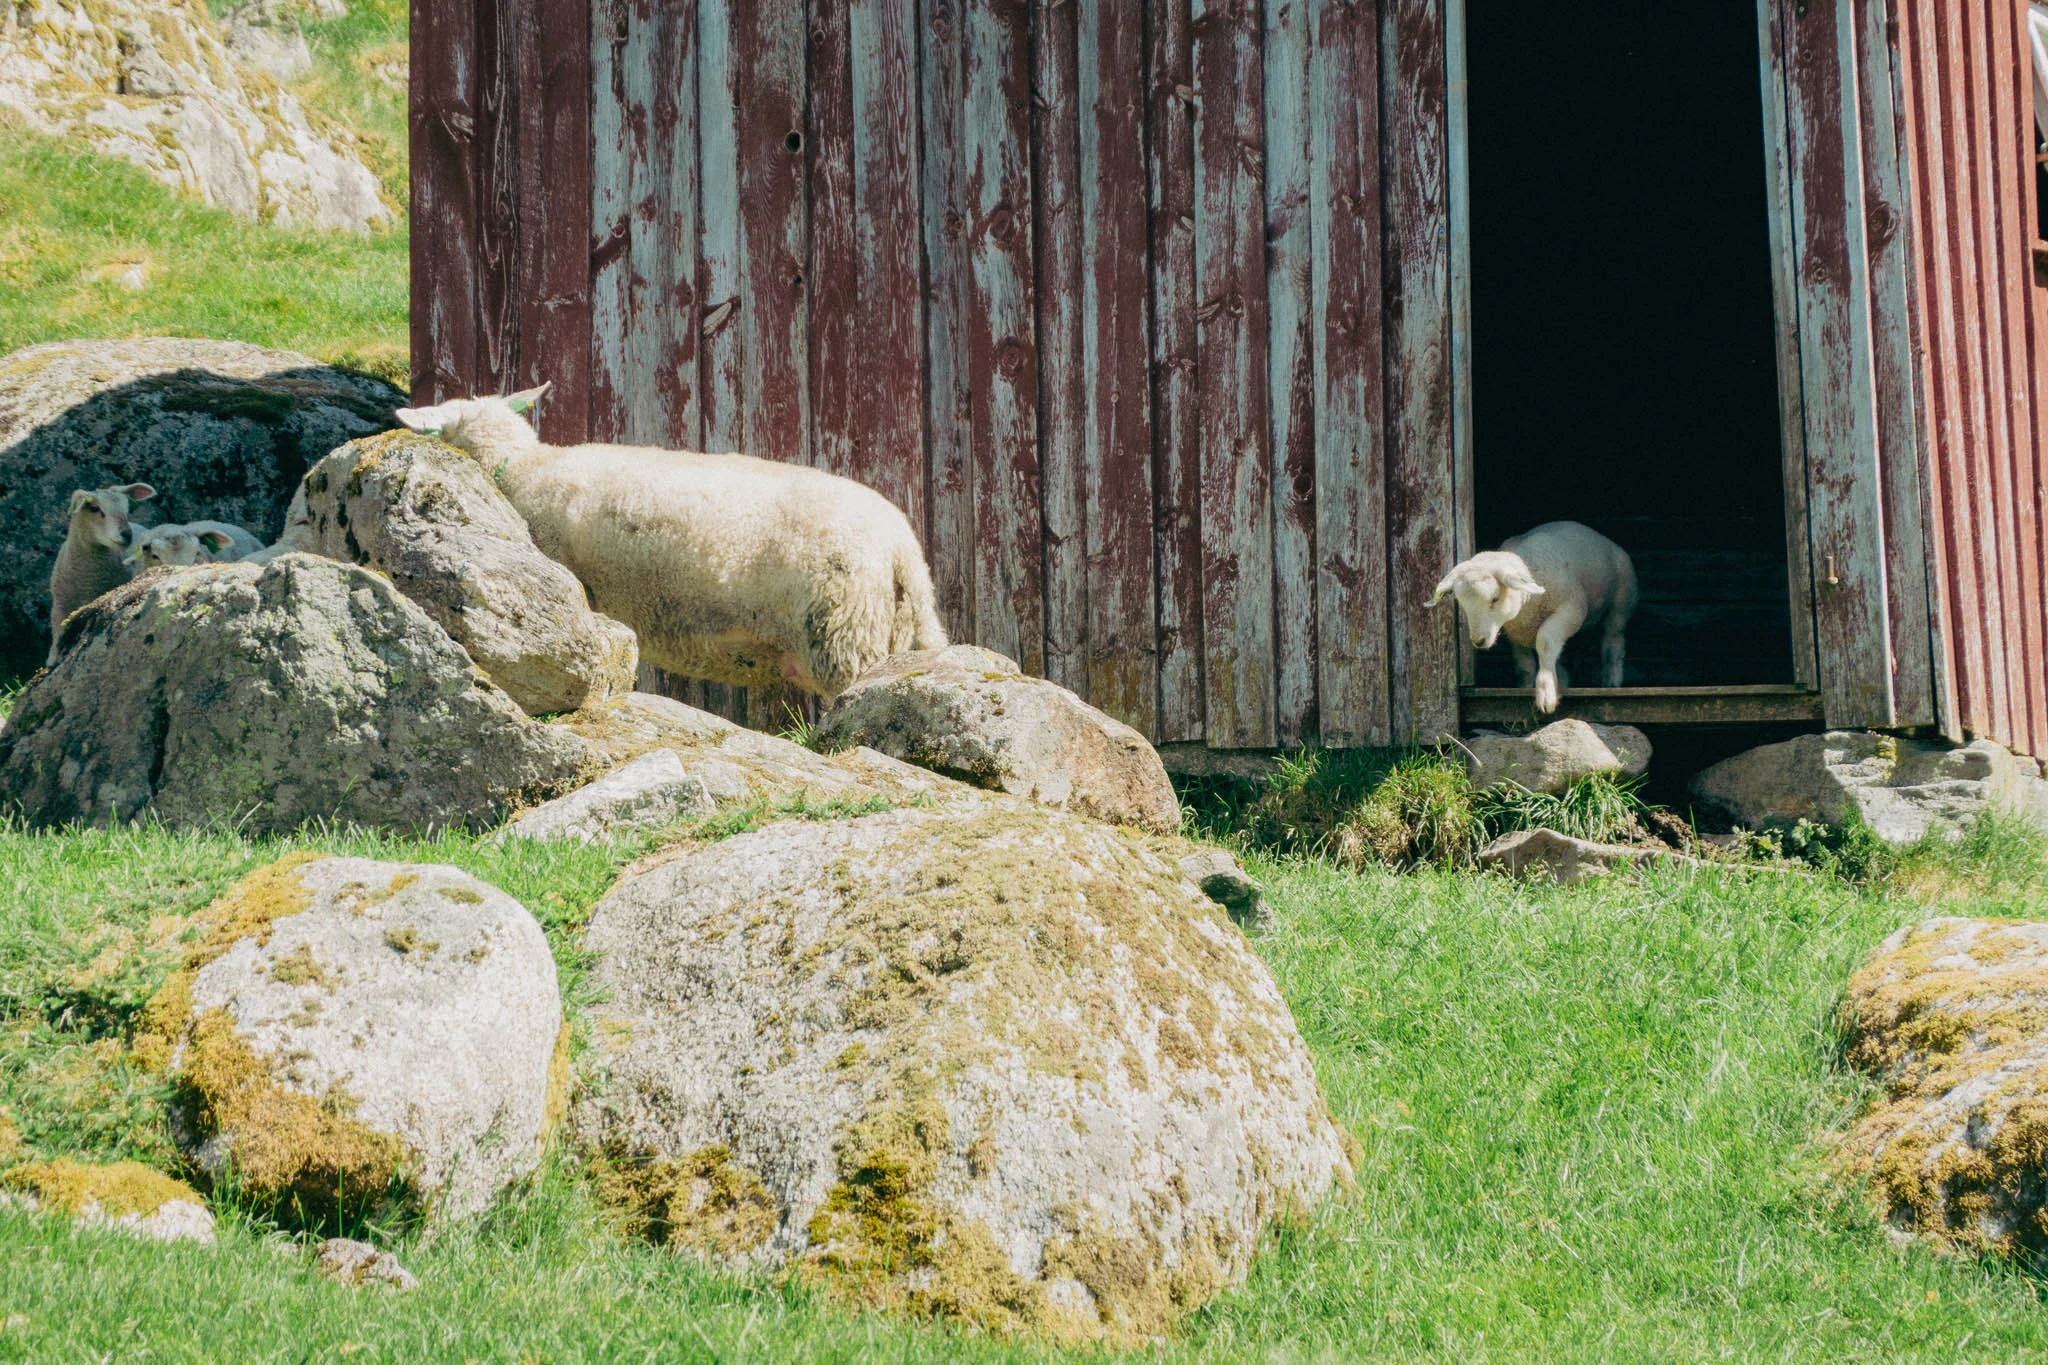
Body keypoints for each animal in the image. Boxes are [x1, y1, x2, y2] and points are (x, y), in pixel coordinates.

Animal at [1429, 520, 1637, 714]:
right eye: (1462, 603)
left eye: (1495, 598)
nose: (1478, 641)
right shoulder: (1514, 631)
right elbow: (1524, 664)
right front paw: (1527, 686)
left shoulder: (1571, 610)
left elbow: (1545, 644)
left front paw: (1546, 693)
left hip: (1621, 602)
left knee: (1612, 642)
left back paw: (1612, 681)